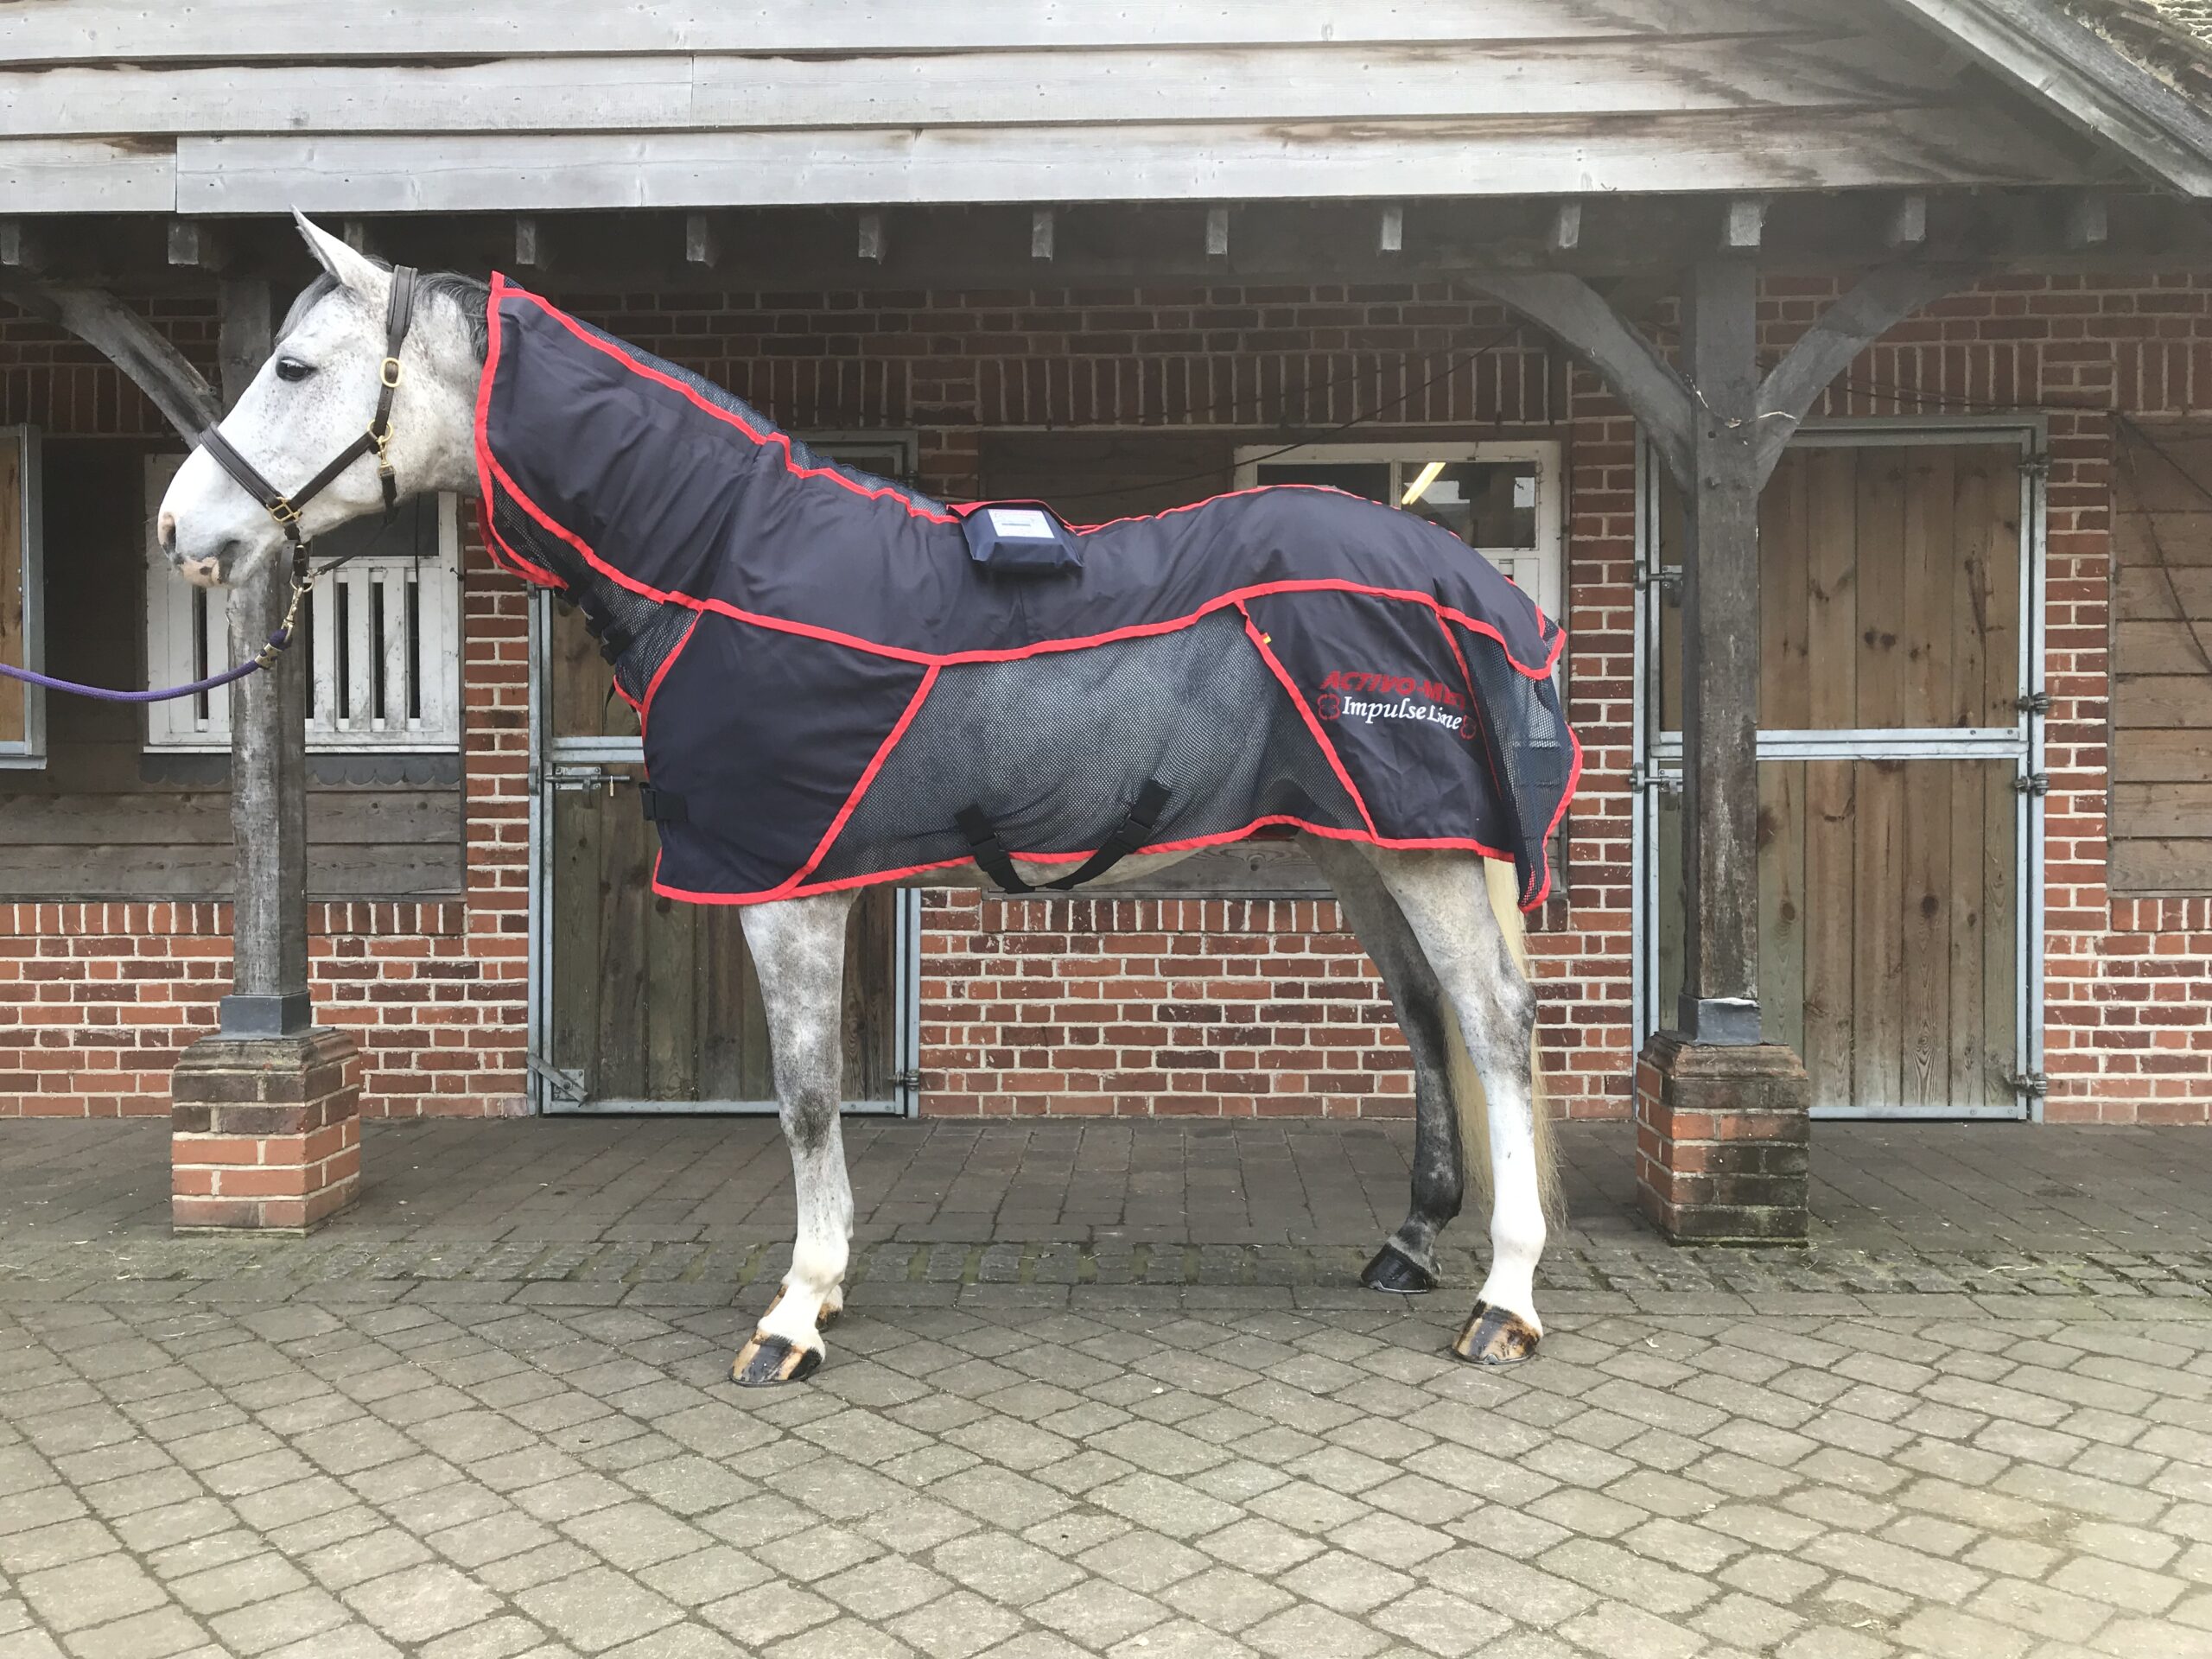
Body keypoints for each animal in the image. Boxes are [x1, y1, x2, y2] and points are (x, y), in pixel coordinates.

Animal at [158, 213, 1564, 1386]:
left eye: (295, 370)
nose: (182, 530)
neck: (729, 565)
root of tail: (1463, 575)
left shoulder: (787, 889)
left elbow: (805, 1094)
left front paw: (795, 1312)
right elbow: (814, 1090)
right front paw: (822, 1292)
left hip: (1424, 853)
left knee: (1495, 1027)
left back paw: (1503, 1298)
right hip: (1365, 846)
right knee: (1427, 1015)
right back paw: (1411, 1244)